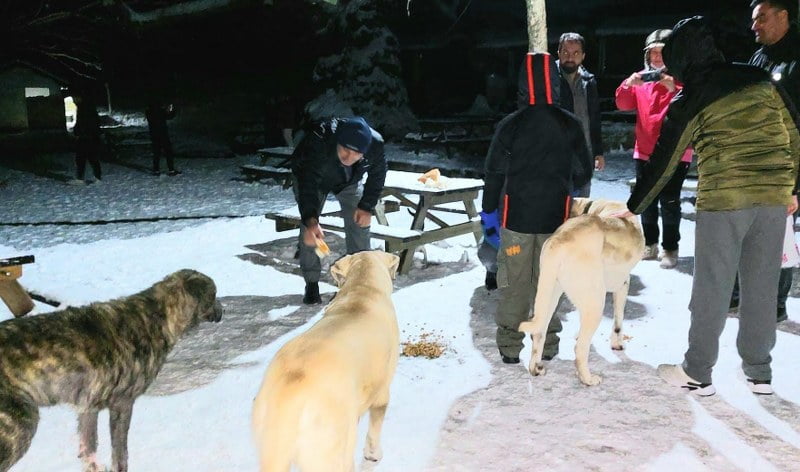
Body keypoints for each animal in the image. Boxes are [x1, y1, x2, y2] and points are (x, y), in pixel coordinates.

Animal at [0, 270, 222, 472]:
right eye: (214, 294)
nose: (223, 311)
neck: (158, 315)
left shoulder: (88, 408)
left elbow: (89, 448)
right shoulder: (123, 404)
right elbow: (120, 453)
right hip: (21, 425)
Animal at [253, 251, 400, 472]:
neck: (362, 289)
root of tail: (290, 392)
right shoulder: (381, 392)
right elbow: (375, 428)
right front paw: (373, 455)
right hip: (329, 449)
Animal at [520, 197, 644, 386]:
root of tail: (558, 240)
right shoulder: (623, 283)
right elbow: (618, 320)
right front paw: (617, 344)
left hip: (550, 295)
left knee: (539, 332)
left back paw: (536, 369)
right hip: (595, 303)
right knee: (580, 349)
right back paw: (588, 379)